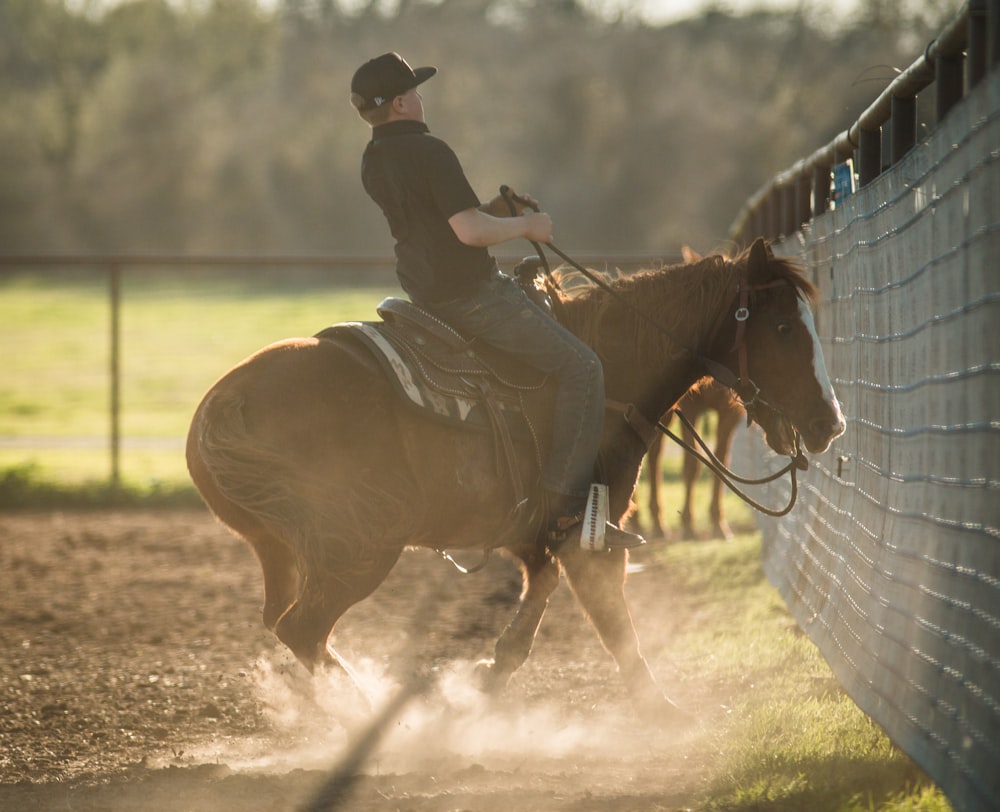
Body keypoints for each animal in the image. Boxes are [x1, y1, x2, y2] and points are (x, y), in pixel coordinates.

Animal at [186, 238, 844, 720]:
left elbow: (537, 604)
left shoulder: (539, 533)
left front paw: (488, 675)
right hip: (362, 546)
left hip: (282, 549)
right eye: (784, 328)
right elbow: (618, 629)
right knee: (304, 629)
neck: (609, 373)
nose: (830, 423)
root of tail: (228, 401)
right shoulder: (594, 535)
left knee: (285, 624)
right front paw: (665, 712)